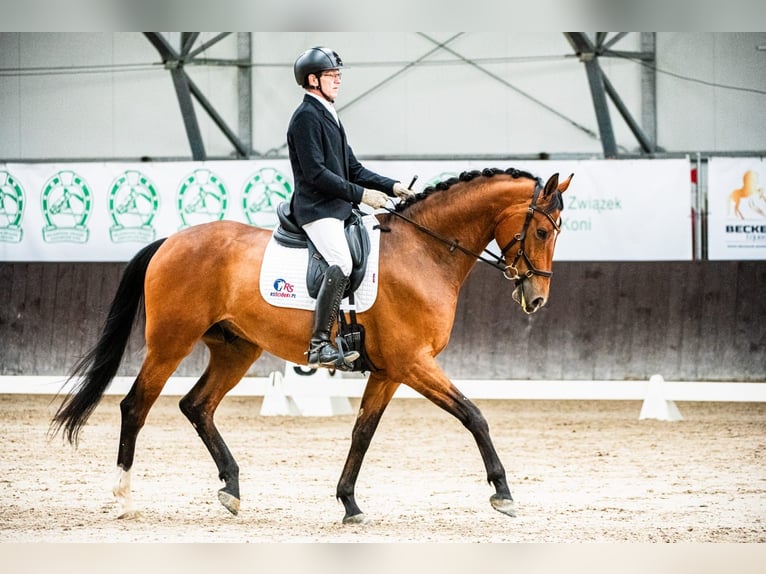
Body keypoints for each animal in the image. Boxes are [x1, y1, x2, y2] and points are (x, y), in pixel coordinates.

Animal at [51, 168, 572, 528]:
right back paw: (123, 497)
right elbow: (474, 415)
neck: (423, 253)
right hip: (170, 342)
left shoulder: (390, 371)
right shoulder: (413, 363)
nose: (537, 299)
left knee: (197, 405)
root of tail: (170, 240)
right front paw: (503, 494)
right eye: (542, 232)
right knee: (136, 405)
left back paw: (232, 488)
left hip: (236, 349)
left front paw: (349, 503)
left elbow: (363, 433)